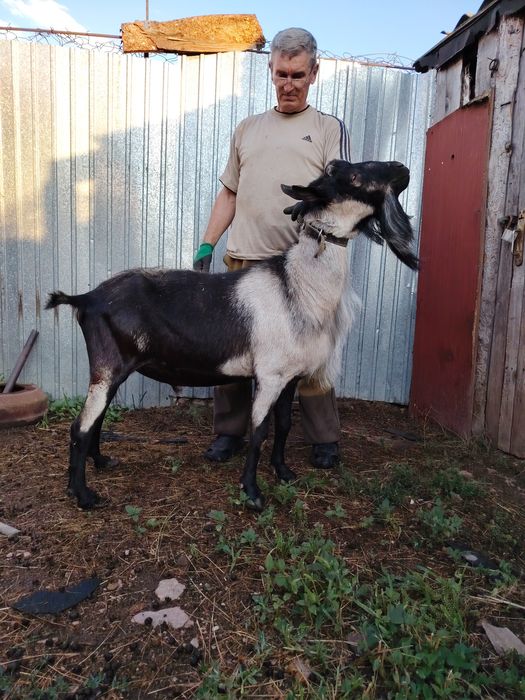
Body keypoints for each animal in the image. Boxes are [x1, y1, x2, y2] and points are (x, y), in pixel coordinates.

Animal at [46, 159, 418, 511]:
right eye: (351, 177)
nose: (402, 168)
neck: (294, 285)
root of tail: (87, 299)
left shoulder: (290, 376)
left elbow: (284, 424)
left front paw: (284, 473)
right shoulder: (269, 375)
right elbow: (258, 431)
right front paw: (252, 493)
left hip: (112, 370)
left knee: (96, 419)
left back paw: (101, 461)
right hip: (108, 366)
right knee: (80, 426)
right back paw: (83, 495)